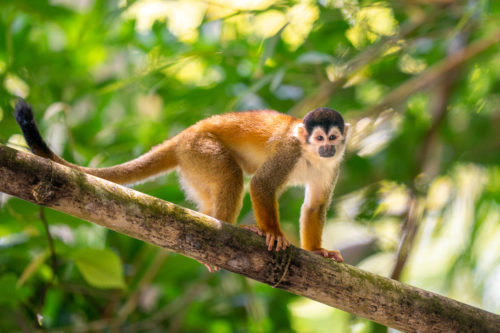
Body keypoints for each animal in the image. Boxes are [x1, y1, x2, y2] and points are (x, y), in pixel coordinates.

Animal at [16, 100, 352, 266]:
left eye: (333, 138)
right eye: (318, 138)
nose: (327, 148)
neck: (309, 155)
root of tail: (182, 136)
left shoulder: (333, 166)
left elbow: (315, 206)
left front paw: (317, 251)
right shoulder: (288, 151)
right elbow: (261, 185)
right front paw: (273, 234)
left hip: (194, 165)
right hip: (201, 150)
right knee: (231, 175)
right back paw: (231, 226)